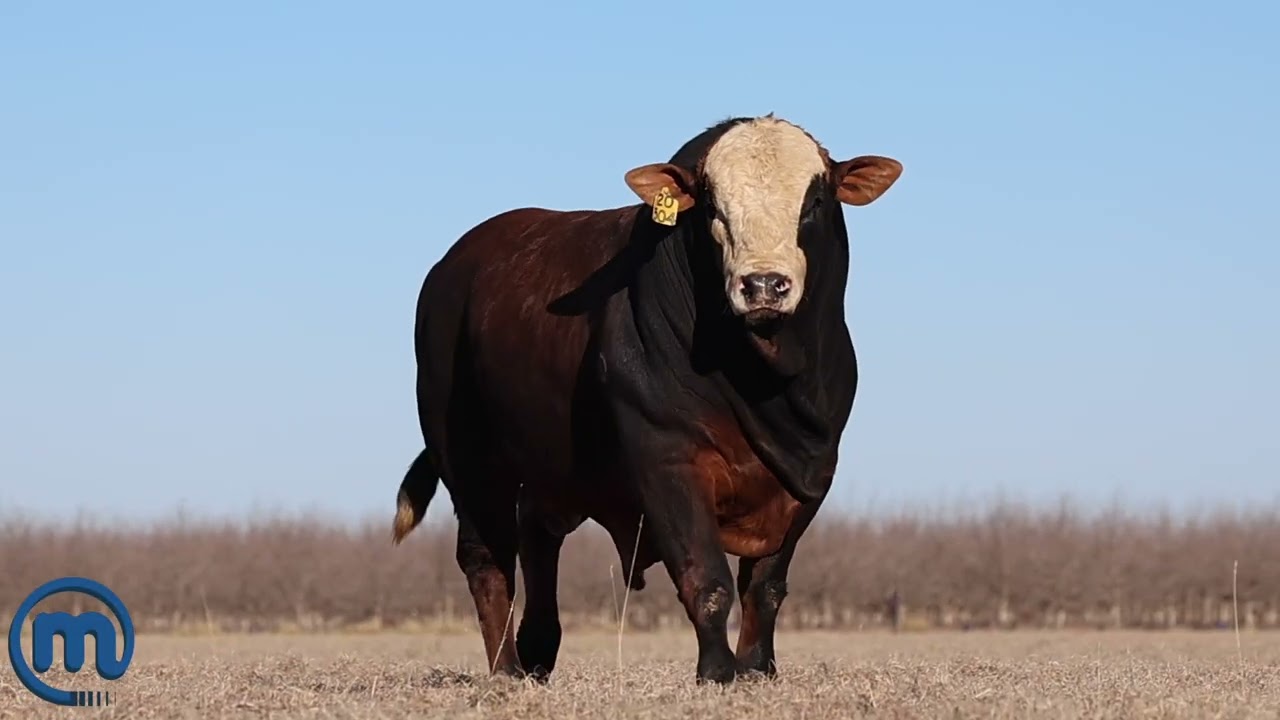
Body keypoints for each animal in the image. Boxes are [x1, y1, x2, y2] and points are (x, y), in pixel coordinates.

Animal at [390, 114, 902, 684]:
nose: (764, 284)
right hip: (471, 466)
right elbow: (707, 579)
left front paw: (758, 669)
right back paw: (505, 669)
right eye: (712, 205)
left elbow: (765, 587)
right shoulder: (669, 461)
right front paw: (717, 672)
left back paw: (538, 654)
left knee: (538, 545)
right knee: (487, 563)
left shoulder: (808, 475)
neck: (765, 381)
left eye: (813, 201)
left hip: (547, 475)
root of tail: (451, 268)